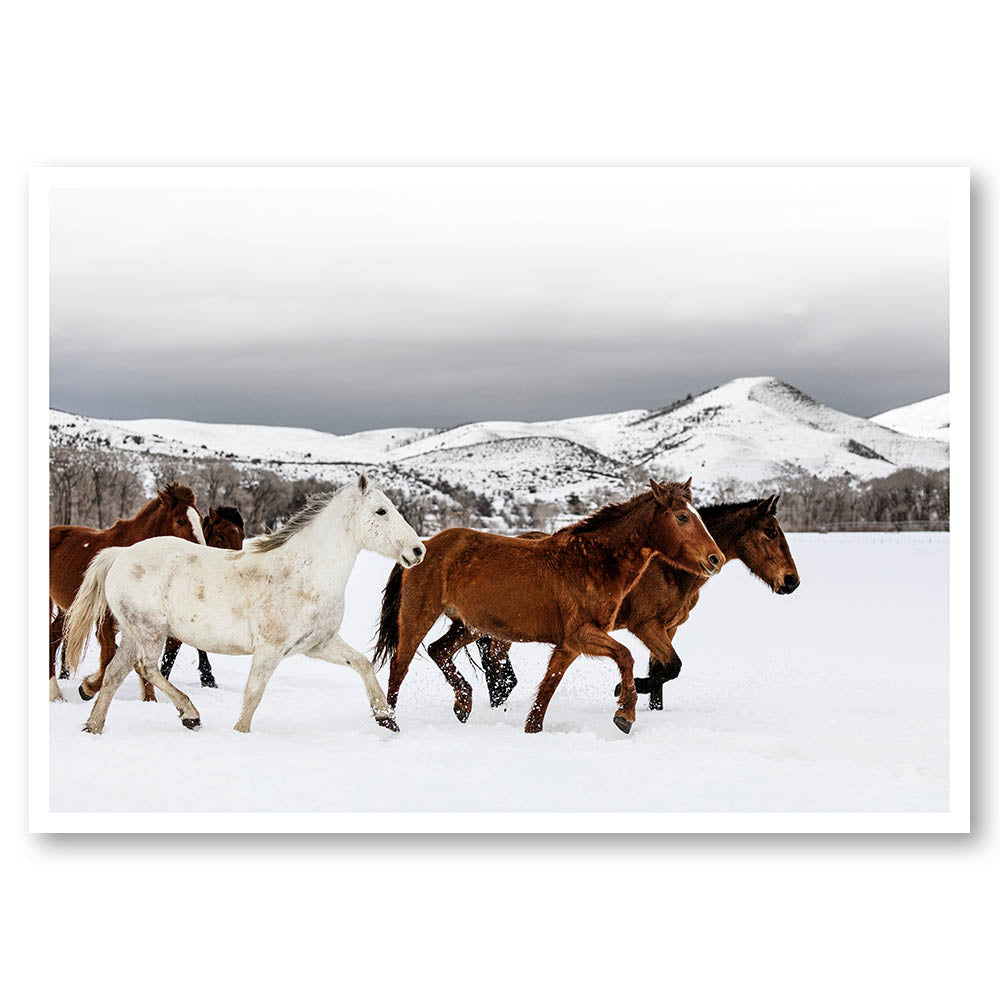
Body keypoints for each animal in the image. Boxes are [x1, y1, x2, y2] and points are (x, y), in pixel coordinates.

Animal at [49, 482, 205, 703]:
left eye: (200, 520)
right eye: (180, 520)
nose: (201, 553)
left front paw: (150, 701)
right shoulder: (105, 621)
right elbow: (109, 657)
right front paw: (87, 688)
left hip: (68, 609)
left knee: (53, 636)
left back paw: (56, 693)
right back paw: (55, 692)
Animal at [373, 479, 725, 735]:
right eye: (682, 517)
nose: (715, 559)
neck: (592, 562)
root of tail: (422, 547)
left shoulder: (570, 644)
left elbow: (548, 687)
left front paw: (533, 729)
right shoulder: (582, 634)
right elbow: (625, 656)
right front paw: (624, 714)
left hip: (469, 626)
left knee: (439, 651)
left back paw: (463, 704)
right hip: (419, 617)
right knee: (399, 667)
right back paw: (388, 722)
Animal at [466, 495, 800, 712]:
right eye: (770, 532)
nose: (791, 581)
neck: (669, 565)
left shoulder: (668, 628)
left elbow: (662, 670)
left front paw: (649, 706)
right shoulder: (646, 626)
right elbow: (672, 667)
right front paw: (626, 690)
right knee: (492, 659)